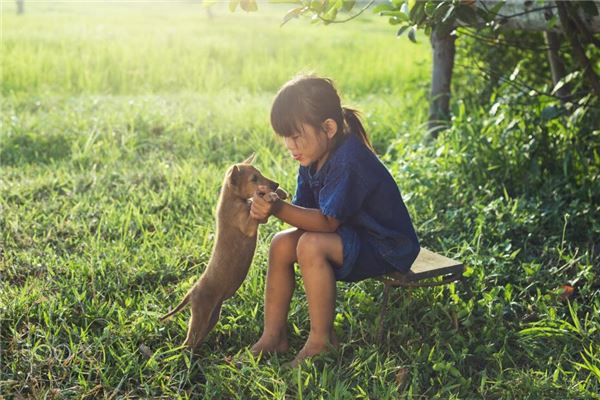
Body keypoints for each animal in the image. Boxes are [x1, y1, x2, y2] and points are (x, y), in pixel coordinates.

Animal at [159, 155, 286, 348]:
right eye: (254, 179)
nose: (276, 184)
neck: (234, 199)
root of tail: (191, 292)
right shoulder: (250, 224)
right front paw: (272, 195)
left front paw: (280, 192)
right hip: (201, 315)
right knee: (188, 343)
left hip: (212, 317)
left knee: (196, 340)